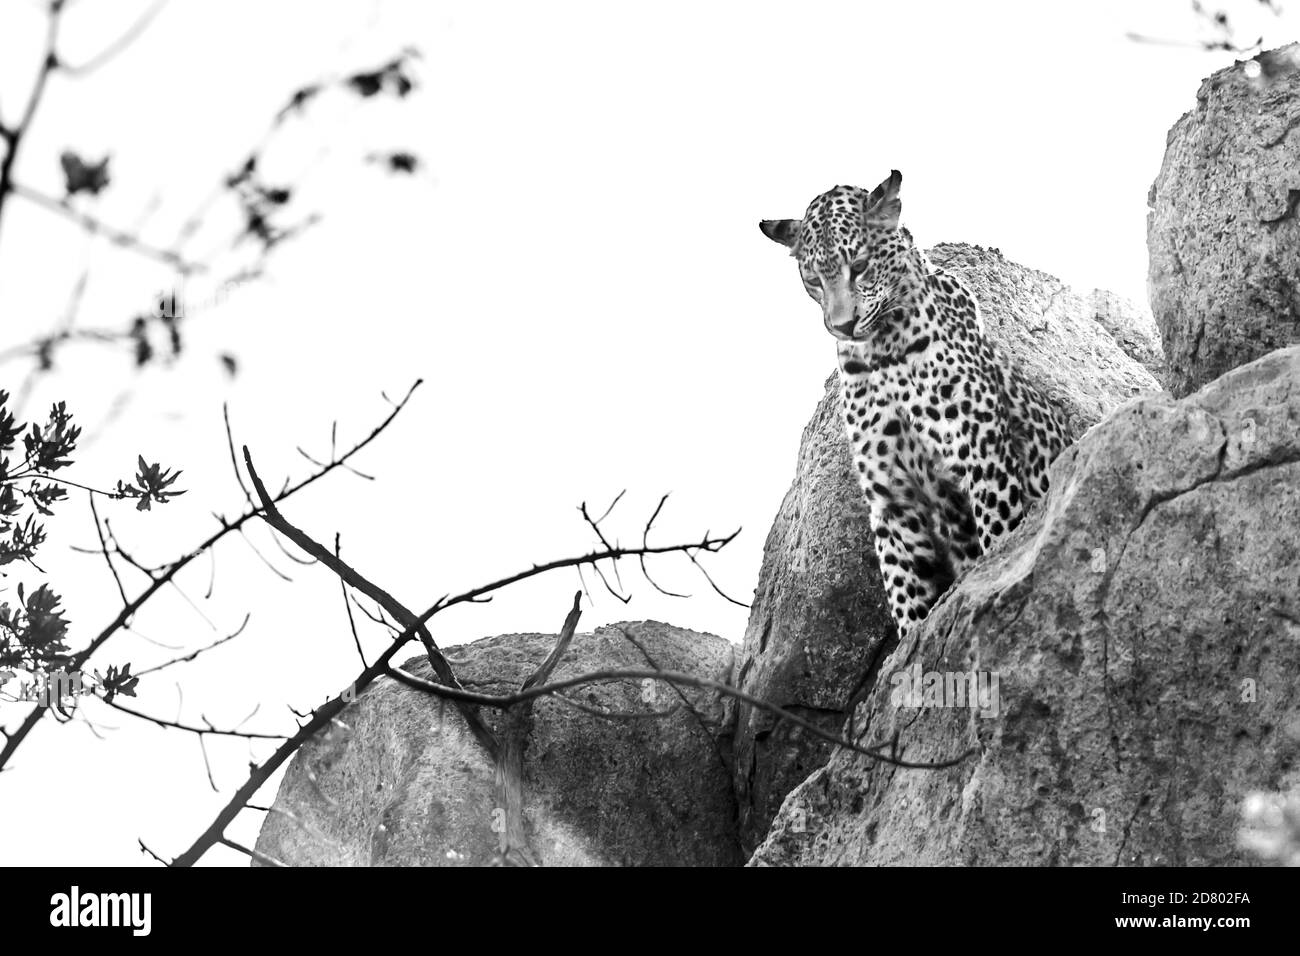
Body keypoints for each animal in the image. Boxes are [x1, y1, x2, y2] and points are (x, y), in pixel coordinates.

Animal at [759, 170, 1066, 642]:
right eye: (812, 279)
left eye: (860, 265)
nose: (843, 326)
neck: (881, 353)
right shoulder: (891, 496)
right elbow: (906, 591)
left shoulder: (983, 456)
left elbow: (1001, 539)